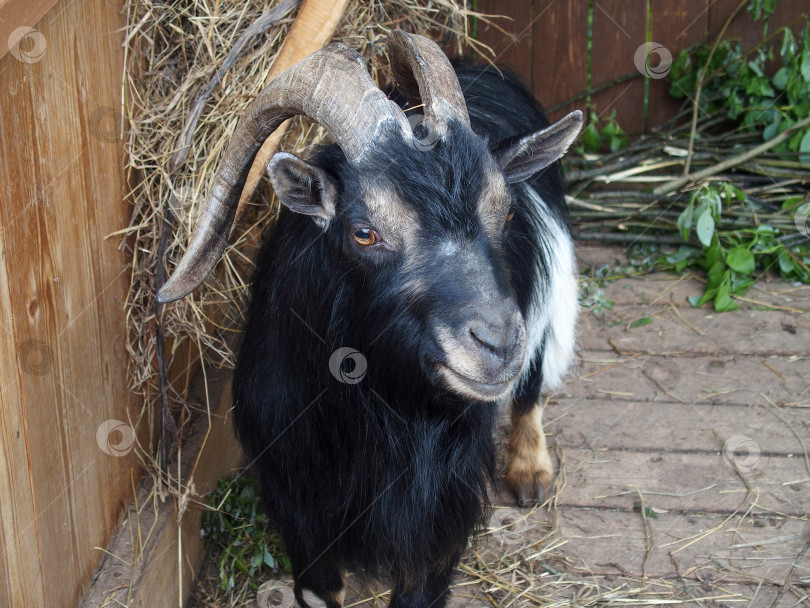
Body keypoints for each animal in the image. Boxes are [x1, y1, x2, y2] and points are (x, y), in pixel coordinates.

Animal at [158, 30, 576, 608]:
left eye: (506, 211)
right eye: (364, 232)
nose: (495, 344)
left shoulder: (438, 524)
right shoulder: (299, 511)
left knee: (534, 373)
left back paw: (530, 468)